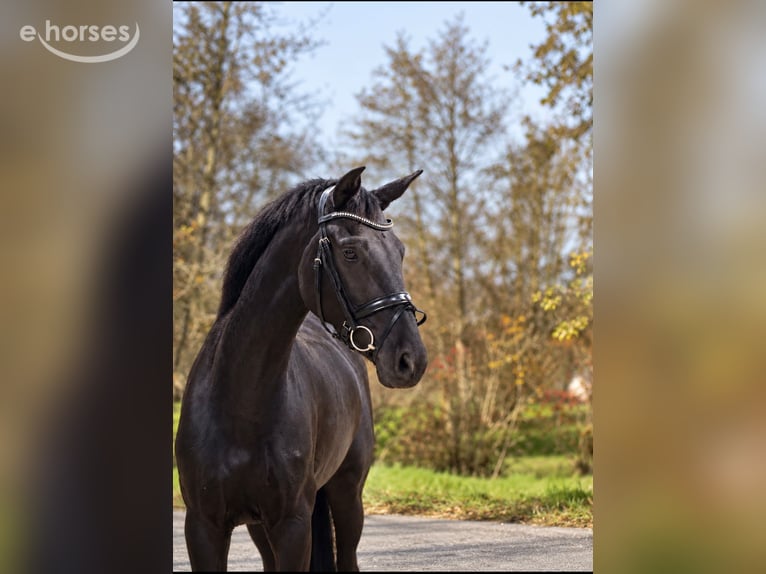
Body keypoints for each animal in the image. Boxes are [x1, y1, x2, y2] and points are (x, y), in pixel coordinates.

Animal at [175, 166, 428, 571]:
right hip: (259, 526)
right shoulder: (203, 527)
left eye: (399, 252)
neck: (239, 405)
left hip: (347, 494)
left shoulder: (293, 525)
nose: (410, 359)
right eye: (350, 252)